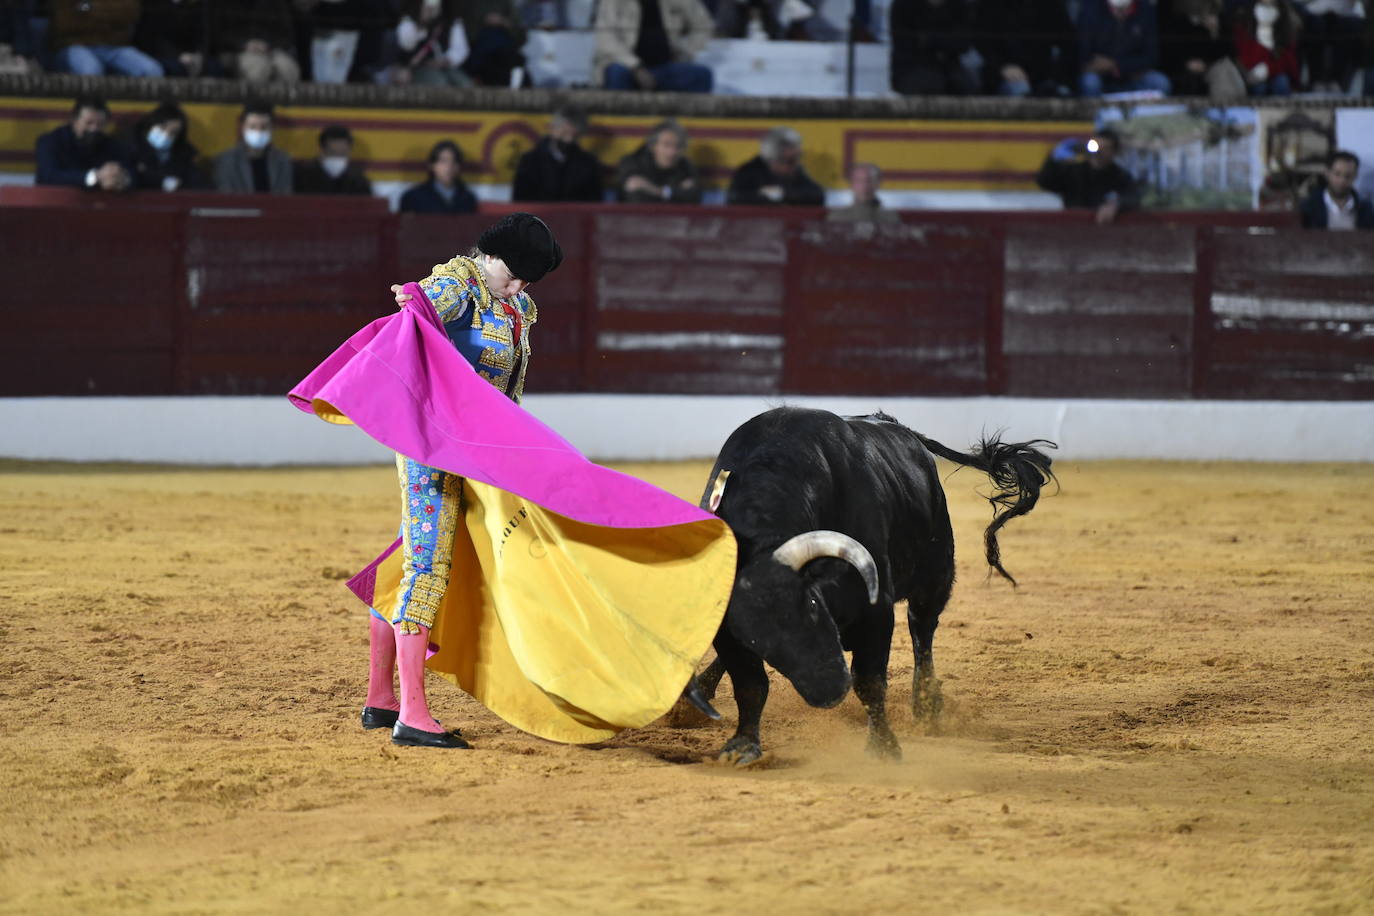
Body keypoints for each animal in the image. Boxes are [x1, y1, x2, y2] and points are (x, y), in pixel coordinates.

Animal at [692, 409, 1055, 769]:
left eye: (813, 608)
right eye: (754, 638)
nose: (829, 690)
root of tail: (897, 426)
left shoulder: (874, 608)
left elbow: (869, 680)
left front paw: (883, 747)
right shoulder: (726, 628)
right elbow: (750, 683)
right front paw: (742, 745)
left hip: (934, 575)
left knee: (922, 631)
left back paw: (926, 706)